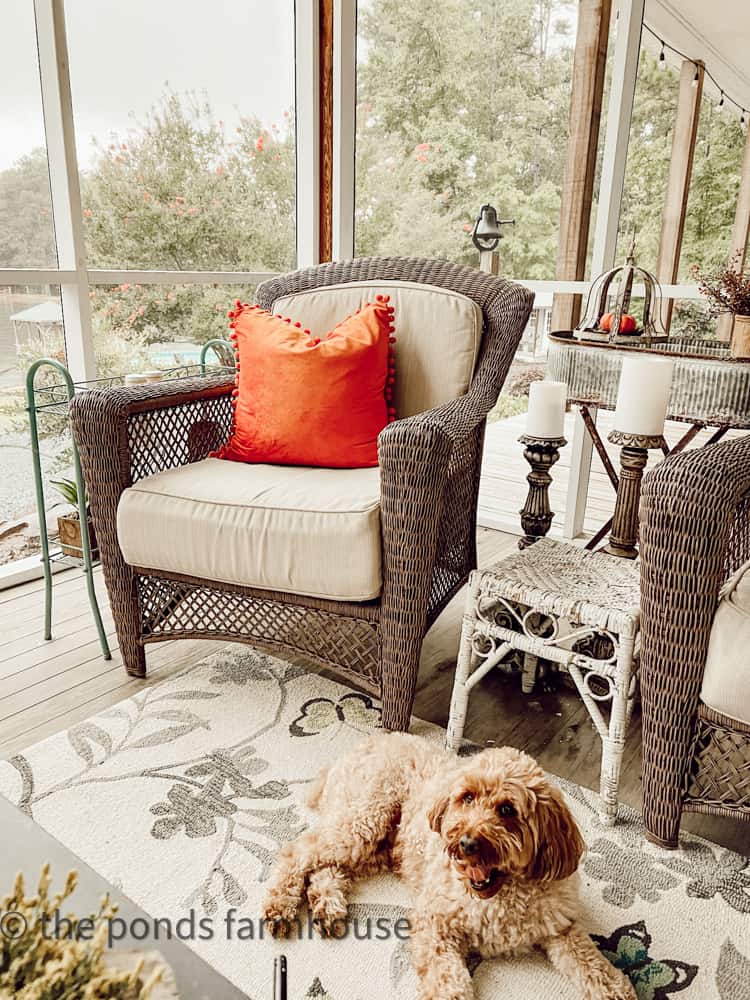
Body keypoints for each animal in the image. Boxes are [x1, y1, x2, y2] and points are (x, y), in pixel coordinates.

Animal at [262, 732, 636, 996]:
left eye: (507, 809)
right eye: (467, 797)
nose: (466, 843)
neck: (500, 895)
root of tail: (362, 745)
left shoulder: (561, 929)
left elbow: (592, 964)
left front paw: (616, 988)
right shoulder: (435, 923)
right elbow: (448, 980)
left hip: (376, 847)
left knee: (326, 866)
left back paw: (328, 906)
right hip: (364, 821)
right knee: (297, 851)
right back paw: (280, 907)